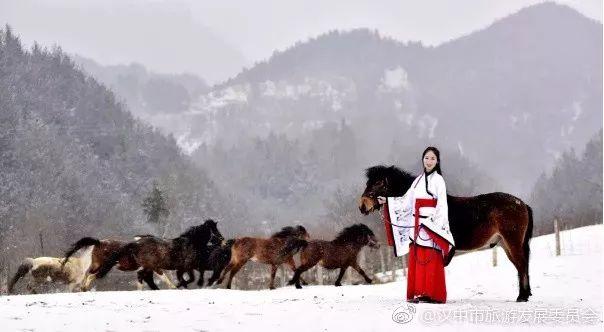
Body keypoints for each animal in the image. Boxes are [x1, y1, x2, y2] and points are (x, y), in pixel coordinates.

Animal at [358, 165, 532, 302]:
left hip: (512, 242)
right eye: (367, 182)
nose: (362, 205)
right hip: (505, 243)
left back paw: (522, 296)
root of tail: (521, 203)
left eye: (378, 182)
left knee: (522, 265)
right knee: (520, 266)